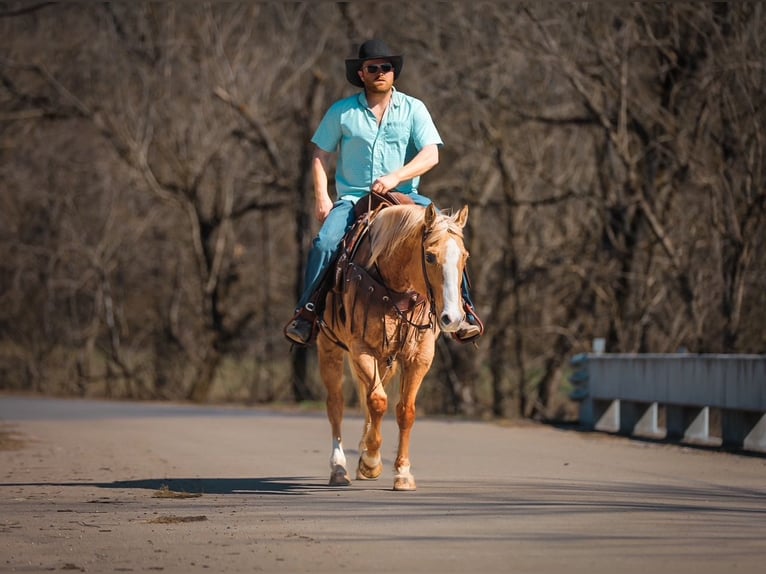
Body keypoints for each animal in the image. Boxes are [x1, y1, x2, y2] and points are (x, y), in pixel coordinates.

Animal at [317, 198, 470, 491]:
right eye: (430, 256)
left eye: (465, 256)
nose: (453, 318)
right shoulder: (360, 350)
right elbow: (378, 402)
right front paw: (371, 461)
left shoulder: (419, 356)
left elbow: (405, 411)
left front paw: (402, 473)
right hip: (329, 349)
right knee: (336, 404)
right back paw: (339, 468)